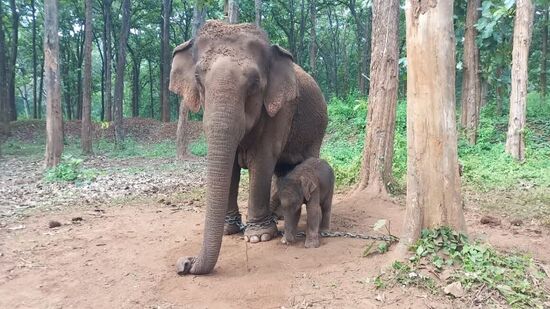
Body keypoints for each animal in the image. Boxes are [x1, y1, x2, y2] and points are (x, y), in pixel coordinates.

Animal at [171, 21, 328, 274]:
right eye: (198, 79)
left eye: (255, 84)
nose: (185, 263)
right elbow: (232, 168)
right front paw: (230, 229)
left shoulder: (281, 108)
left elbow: (263, 159)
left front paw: (259, 236)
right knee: (282, 169)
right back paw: (278, 216)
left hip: (317, 128)